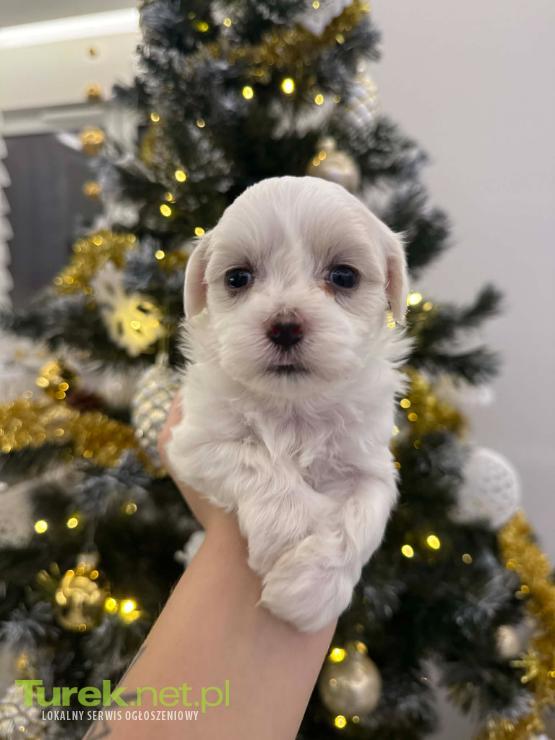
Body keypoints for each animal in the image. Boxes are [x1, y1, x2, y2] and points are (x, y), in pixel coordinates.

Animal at [166, 175, 410, 632]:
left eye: (344, 276)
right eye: (238, 277)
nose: (284, 325)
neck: (293, 406)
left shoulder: (372, 468)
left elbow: (361, 519)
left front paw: (309, 591)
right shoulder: (194, 442)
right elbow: (256, 461)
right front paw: (294, 533)